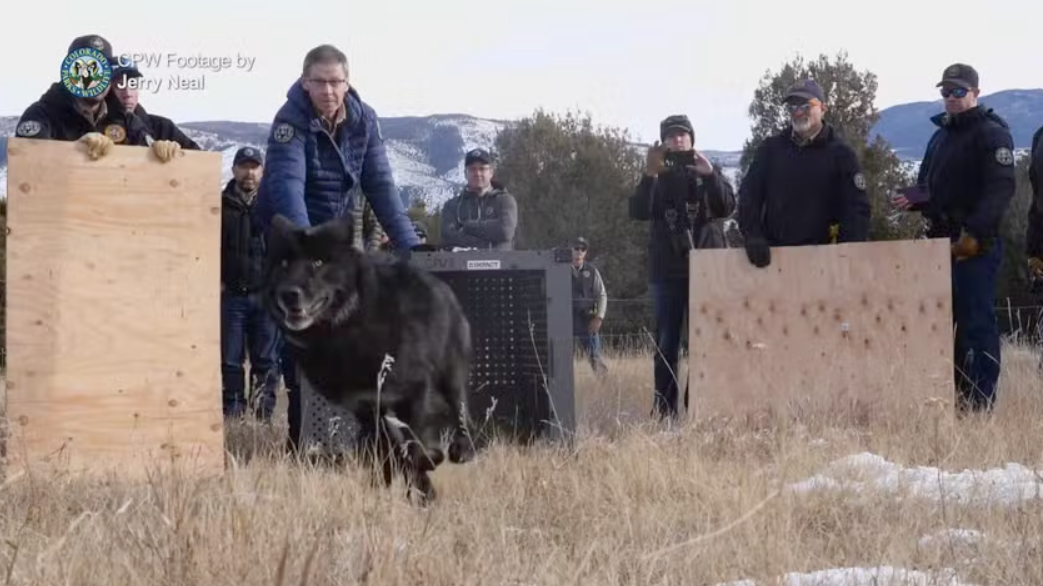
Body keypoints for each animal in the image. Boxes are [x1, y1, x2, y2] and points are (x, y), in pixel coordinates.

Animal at [262, 211, 475, 500]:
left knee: (461, 409)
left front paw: (429, 461)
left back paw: (462, 449)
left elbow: (415, 442)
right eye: (283, 263)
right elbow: (398, 450)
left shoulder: (416, 390)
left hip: (450, 375)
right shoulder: (367, 407)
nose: (289, 294)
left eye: (318, 262)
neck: (347, 324)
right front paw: (419, 485)